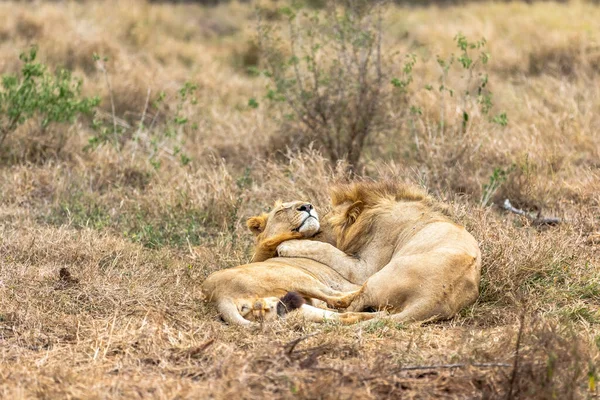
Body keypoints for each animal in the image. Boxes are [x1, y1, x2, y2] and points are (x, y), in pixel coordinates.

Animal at [202, 202, 380, 326]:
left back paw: (379, 316)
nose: (307, 206)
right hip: (296, 277)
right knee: (339, 298)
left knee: (342, 316)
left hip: (288, 307)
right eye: (280, 211)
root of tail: (219, 296)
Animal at [278, 181, 482, 322]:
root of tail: (431, 299)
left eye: (317, 232)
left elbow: (327, 249)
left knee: (352, 305)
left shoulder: (365, 269)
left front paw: (285, 246)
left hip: (380, 276)